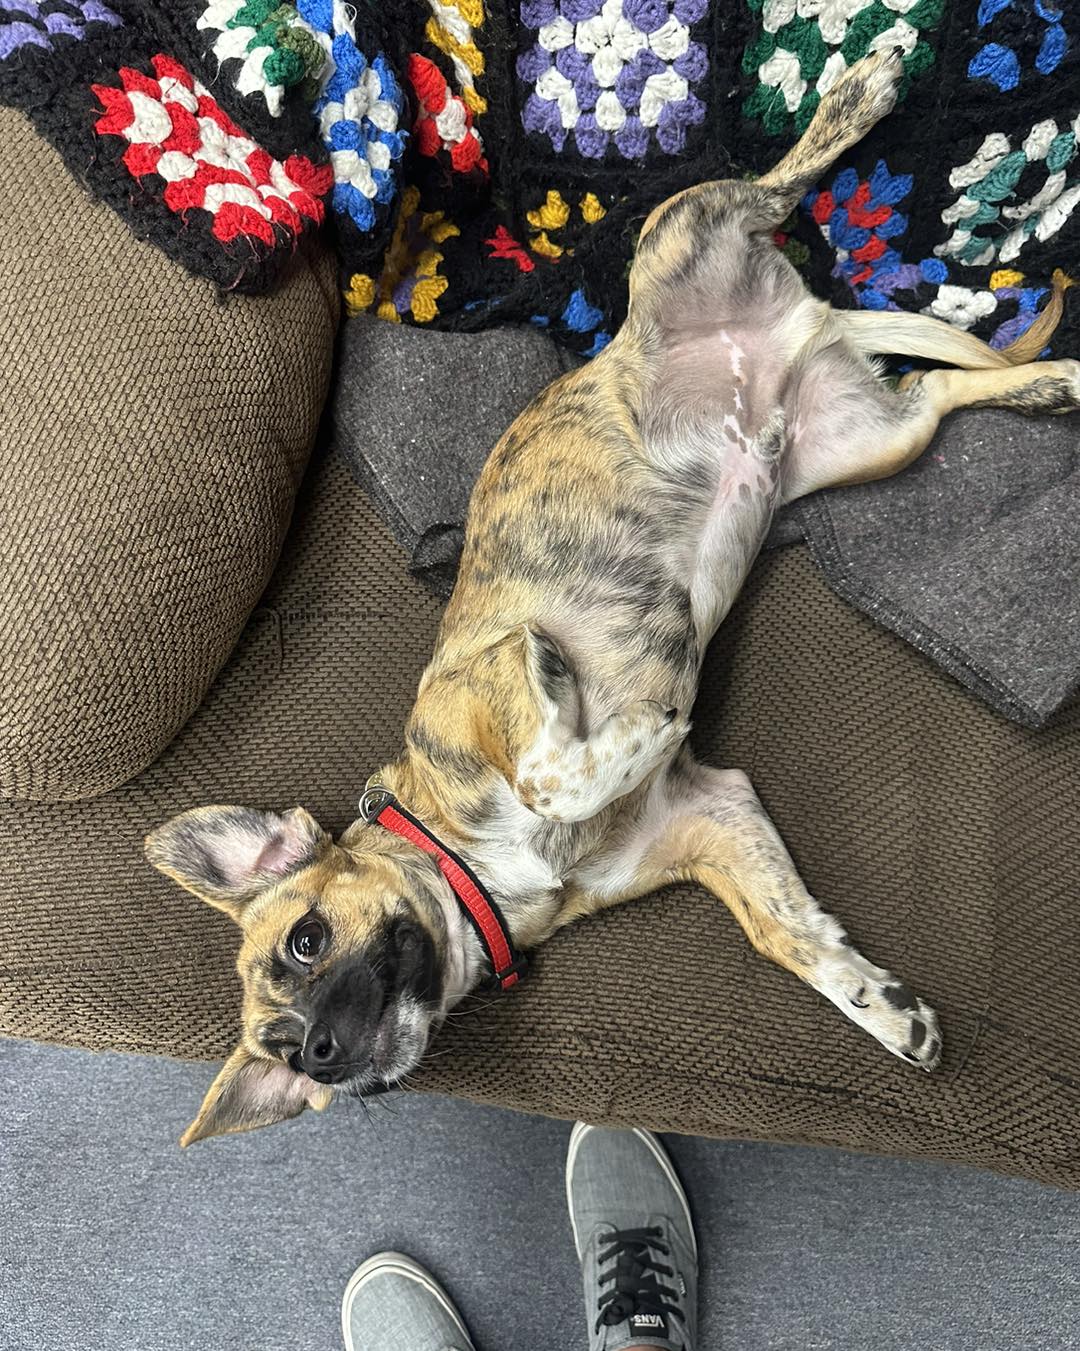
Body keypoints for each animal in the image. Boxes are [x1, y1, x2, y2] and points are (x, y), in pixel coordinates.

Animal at [145, 55, 1080, 1151]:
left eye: (305, 939)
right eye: (286, 1055)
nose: (326, 1057)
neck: (478, 872)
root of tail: (801, 326)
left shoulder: (491, 673)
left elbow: (554, 766)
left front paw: (622, 725)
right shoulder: (715, 815)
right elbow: (781, 929)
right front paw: (876, 1004)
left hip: (679, 232)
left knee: (775, 184)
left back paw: (862, 90)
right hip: (874, 442)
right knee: (939, 395)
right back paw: (1055, 383)